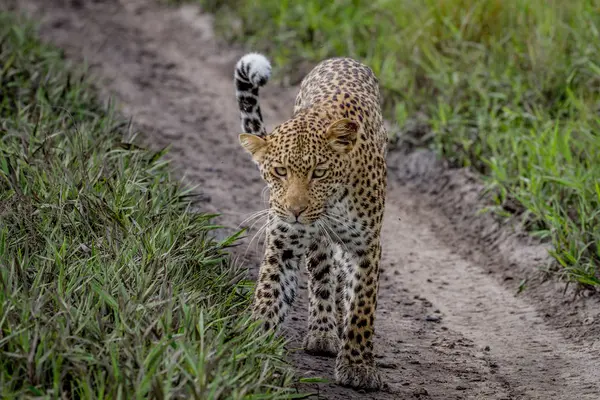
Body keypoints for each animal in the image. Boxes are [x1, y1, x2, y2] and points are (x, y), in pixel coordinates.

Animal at [232, 50, 386, 390]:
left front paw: (357, 366)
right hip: (316, 245)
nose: (296, 210)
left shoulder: (366, 248)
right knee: (322, 277)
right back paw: (323, 332)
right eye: (279, 172)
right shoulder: (283, 244)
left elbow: (361, 307)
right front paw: (250, 347)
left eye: (319, 173)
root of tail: (341, 57)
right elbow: (270, 293)